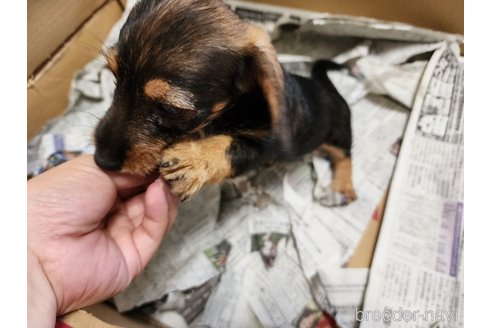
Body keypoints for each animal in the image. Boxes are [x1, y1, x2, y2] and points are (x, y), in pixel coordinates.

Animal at [93, 0, 354, 202]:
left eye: (170, 109)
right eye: (114, 76)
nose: (101, 160)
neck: (235, 107)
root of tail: (329, 90)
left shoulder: (266, 146)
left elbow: (233, 146)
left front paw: (195, 160)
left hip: (338, 134)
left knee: (345, 155)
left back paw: (343, 187)